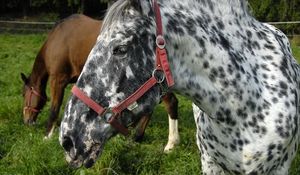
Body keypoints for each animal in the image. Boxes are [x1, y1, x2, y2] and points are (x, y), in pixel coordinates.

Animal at [21, 13, 180, 150]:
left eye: (24, 94)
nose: (27, 121)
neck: (57, 38)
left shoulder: (58, 80)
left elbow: (54, 109)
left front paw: (47, 136)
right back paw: (136, 136)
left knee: (171, 103)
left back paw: (170, 144)